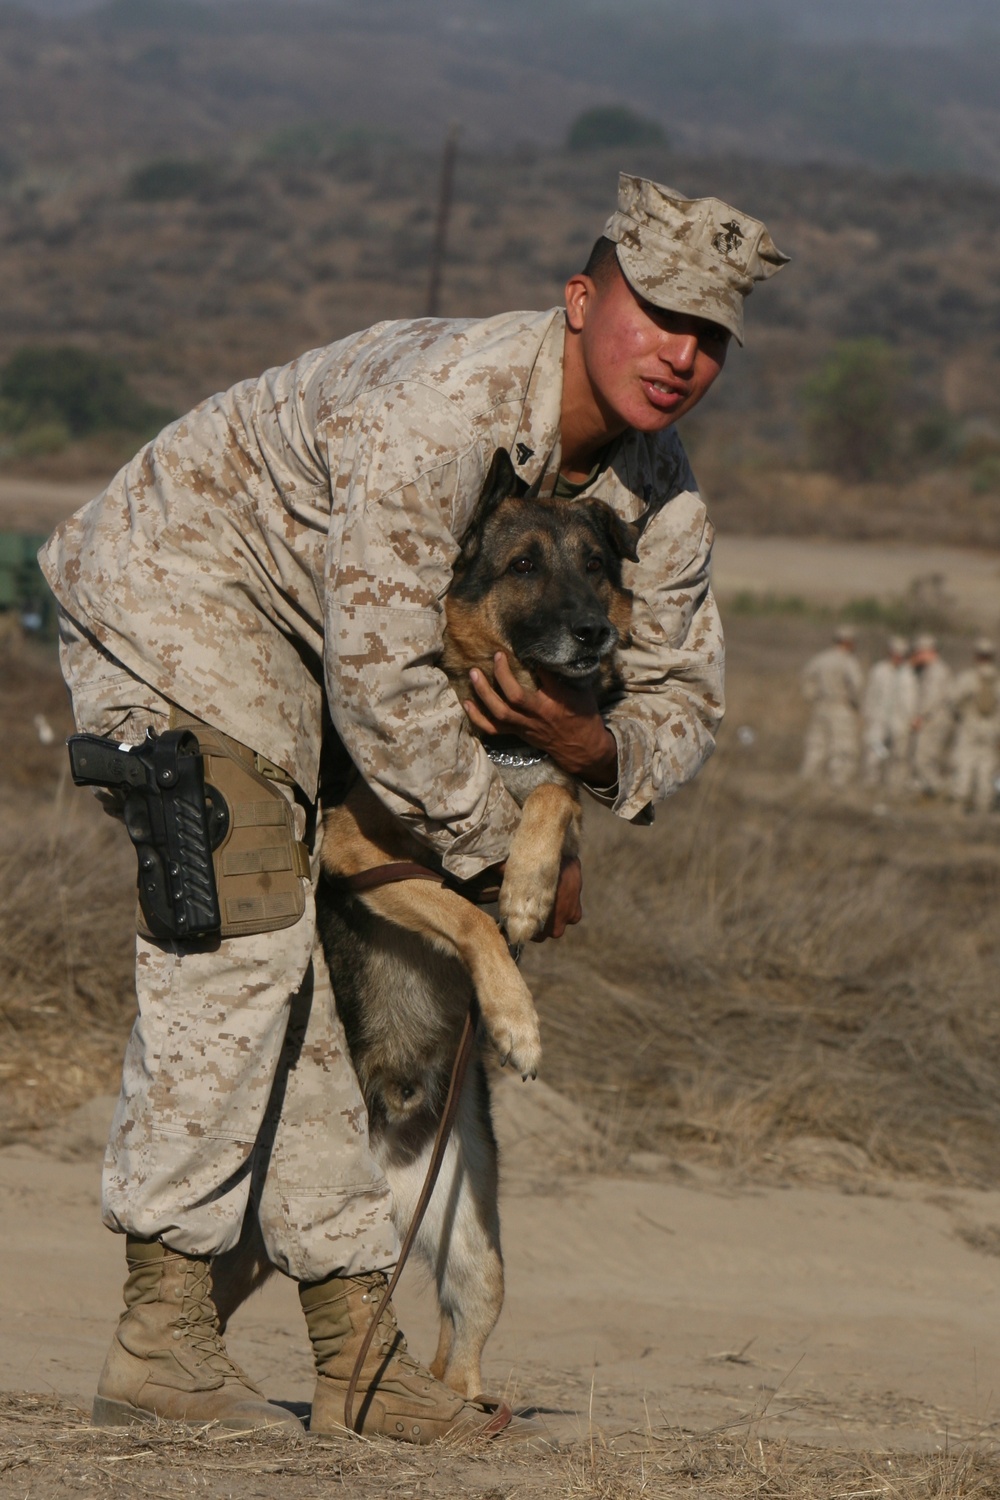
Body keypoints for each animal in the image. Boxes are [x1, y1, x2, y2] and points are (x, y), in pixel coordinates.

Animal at [215, 450, 641, 1398]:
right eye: (524, 566)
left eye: (596, 565)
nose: (594, 634)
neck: (504, 741)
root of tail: (394, 1161)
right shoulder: (357, 850)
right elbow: (462, 914)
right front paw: (516, 1015)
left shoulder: (554, 788)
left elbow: (556, 796)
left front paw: (527, 887)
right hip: (272, 1233)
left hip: (478, 1258)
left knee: (460, 1353)